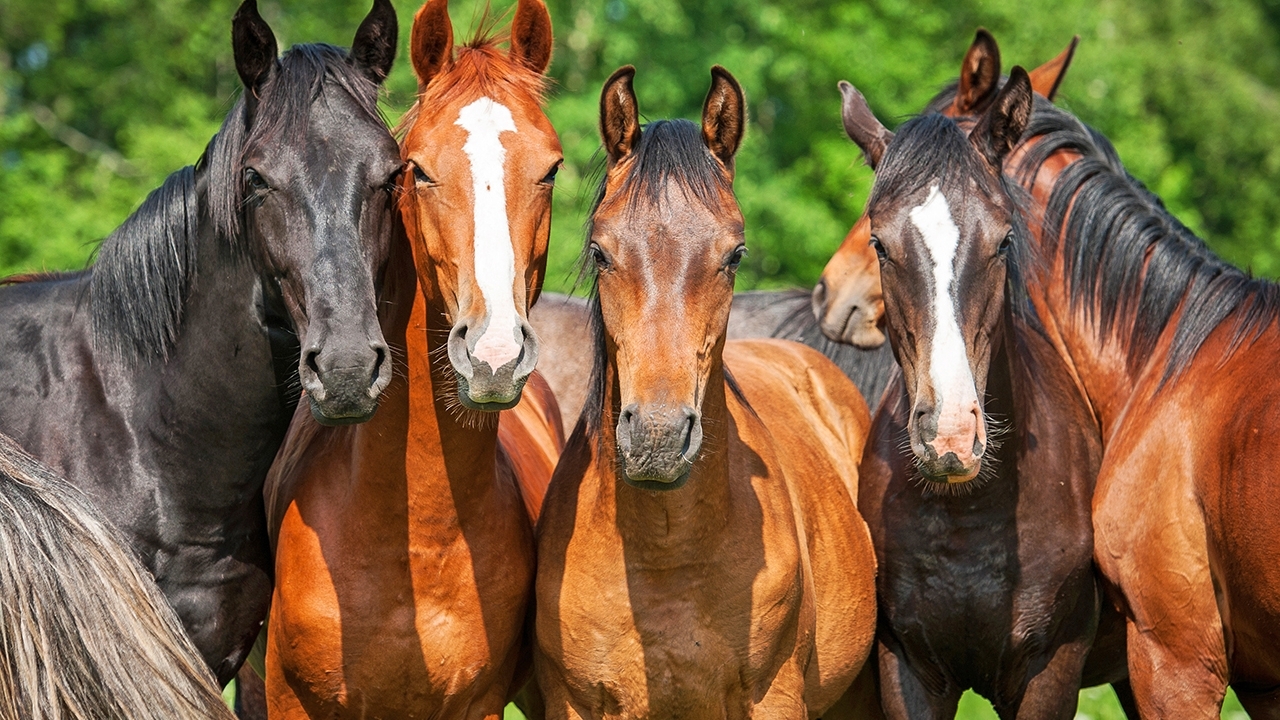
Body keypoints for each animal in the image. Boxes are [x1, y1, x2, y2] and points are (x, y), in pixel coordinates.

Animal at [839, 40, 1131, 717]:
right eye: (880, 243)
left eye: (1003, 240)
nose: (949, 435)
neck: (969, 514)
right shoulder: (906, 666)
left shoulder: (1051, 670)